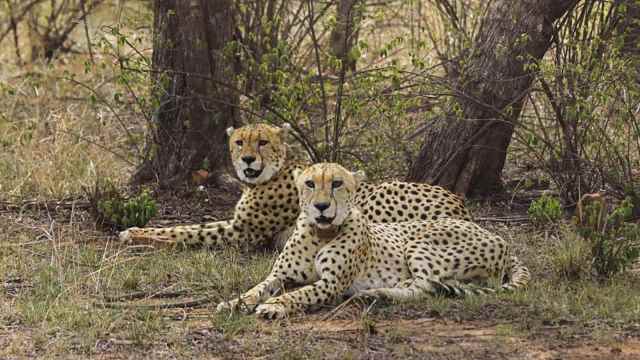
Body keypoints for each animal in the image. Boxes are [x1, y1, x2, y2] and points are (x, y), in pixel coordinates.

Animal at [120, 124, 472, 250]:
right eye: (239, 142)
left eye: (262, 142)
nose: (247, 159)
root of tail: (459, 203)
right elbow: (190, 226)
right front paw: (137, 230)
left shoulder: (243, 232)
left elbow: (187, 231)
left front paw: (136, 234)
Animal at [216, 163, 528, 318]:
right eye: (310, 184)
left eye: (337, 184)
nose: (321, 207)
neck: (320, 233)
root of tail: (501, 240)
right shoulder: (279, 275)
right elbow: (256, 288)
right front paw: (234, 303)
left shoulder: (331, 284)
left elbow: (298, 294)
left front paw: (274, 306)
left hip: (419, 242)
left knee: (426, 286)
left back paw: (376, 293)